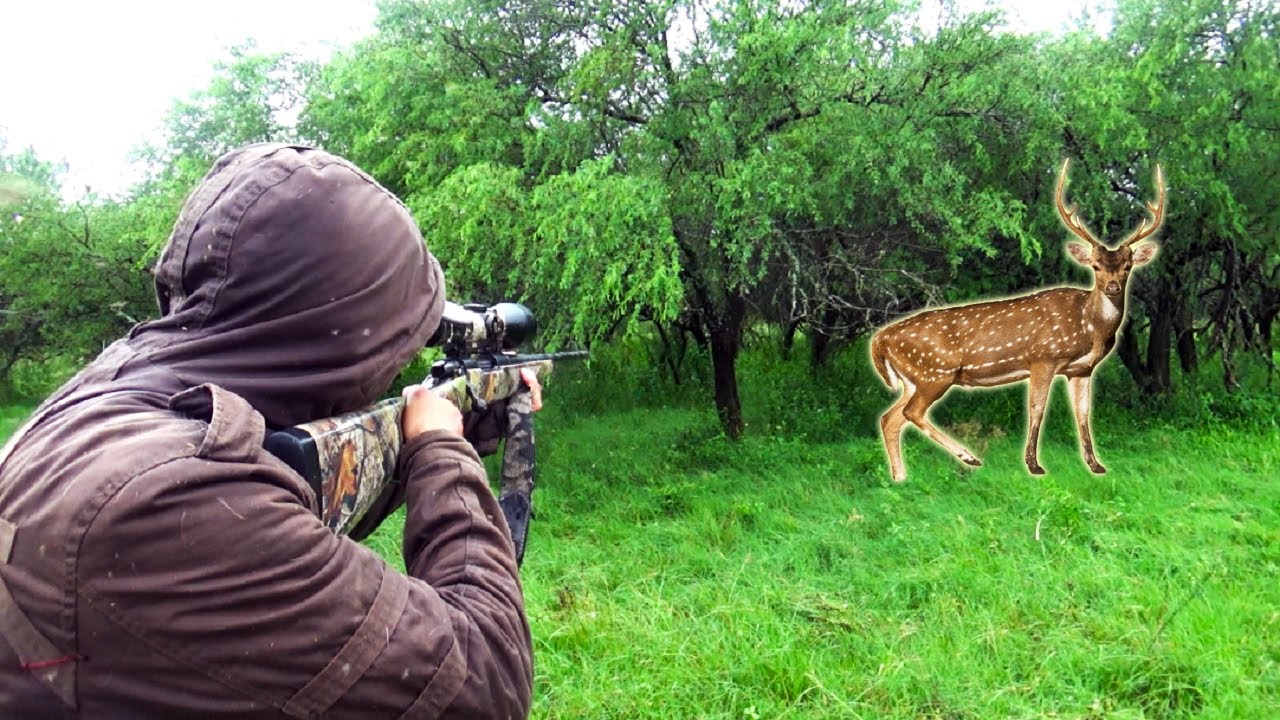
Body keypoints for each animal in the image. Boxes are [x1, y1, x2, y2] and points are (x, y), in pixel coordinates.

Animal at [870, 159, 1164, 482]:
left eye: (1127, 266)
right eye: (1096, 266)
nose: (1112, 287)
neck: (1089, 327)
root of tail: (879, 339)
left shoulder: (1082, 369)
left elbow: (1083, 413)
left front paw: (1095, 465)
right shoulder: (1043, 357)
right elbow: (1037, 407)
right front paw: (1034, 465)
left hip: (915, 378)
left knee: (889, 418)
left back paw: (900, 478)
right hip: (935, 371)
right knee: (911, 413)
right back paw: (968, 457)